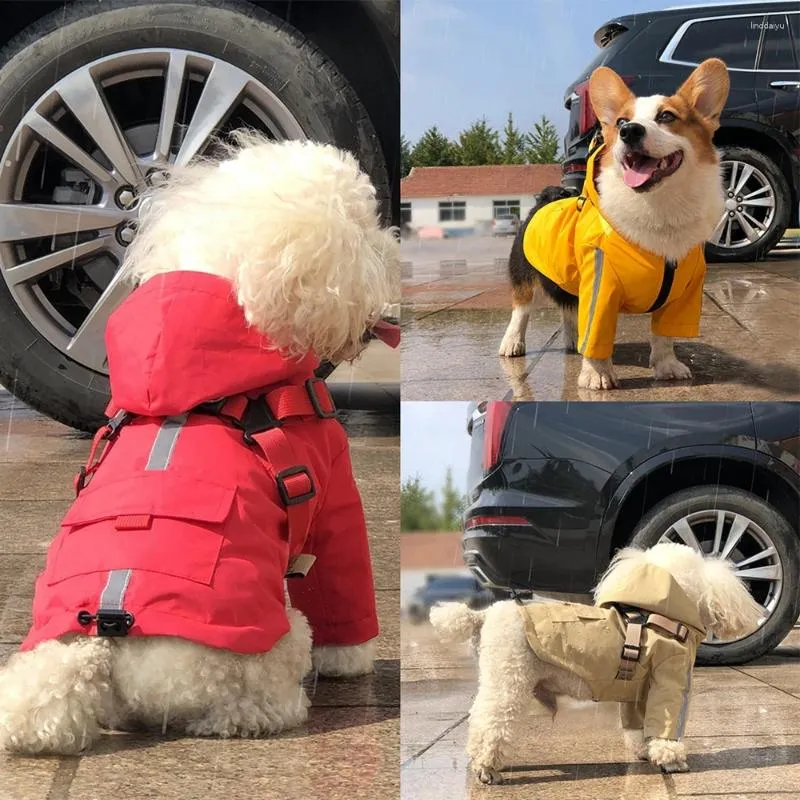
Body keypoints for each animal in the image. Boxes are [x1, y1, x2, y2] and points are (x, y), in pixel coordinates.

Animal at [432, 540, 764, 784]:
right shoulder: (668, 679)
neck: (660, 616)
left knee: (479, 719)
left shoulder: (640, 690)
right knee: (491, 724)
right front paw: (671, 759)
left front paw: (645, 751)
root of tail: (483, 615)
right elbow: (665, 723)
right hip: (509, 679)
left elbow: (638, 724)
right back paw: (486, 768)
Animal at [500, 57, 732, 390]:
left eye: (667, 116)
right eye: (622, 122)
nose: (630, 132)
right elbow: (596, 333)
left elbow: (664, 336)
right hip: (526, 277)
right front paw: (596, 374)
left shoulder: (682, 295)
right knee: (521, 309)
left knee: (569, 310)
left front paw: (667, 366)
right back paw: (512, 343)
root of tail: (546, 197)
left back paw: (573, 340)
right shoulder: (600, 285)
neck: (659, 206)